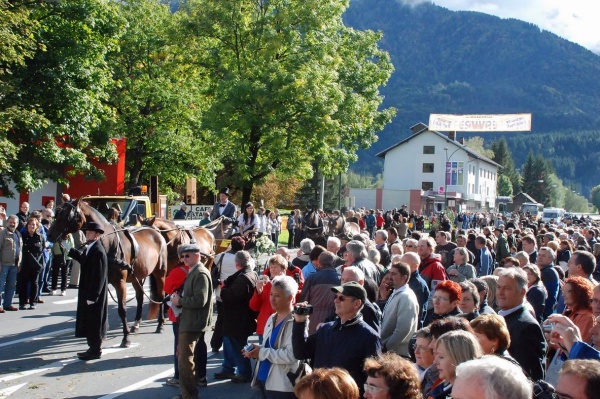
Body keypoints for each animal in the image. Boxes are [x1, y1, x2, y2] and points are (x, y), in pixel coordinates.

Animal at [47, 198, 168, 348]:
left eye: (67, 215)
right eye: (57, 213)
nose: (49, 235)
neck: (108, 242)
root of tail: (155, 231)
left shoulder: (120, 282)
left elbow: (122, 309)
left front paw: (125, 338)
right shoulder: (102, 280)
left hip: (160, 273)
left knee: (161, 295)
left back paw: (160, 324)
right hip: (137, 276)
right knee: (140, 297)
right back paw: (136, 324)